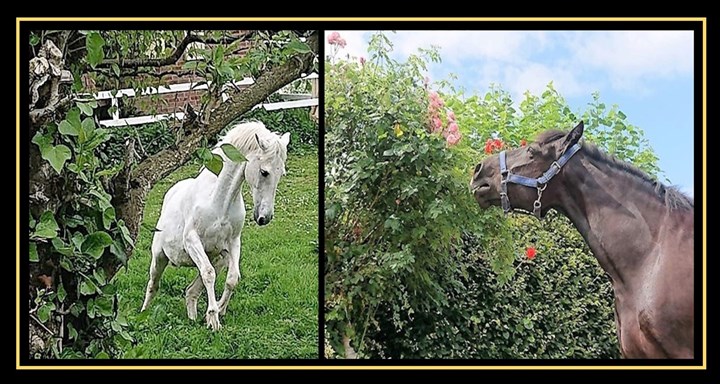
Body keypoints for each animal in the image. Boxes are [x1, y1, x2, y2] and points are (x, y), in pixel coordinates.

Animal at [139, 122, 288, 330]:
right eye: (264, 172)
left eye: (281, 173)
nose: (264, 218)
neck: (219, 201)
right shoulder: (192, 241)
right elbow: (209, 275)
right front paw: (214, 319)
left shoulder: (233, 243)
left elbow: (233, 278)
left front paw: (218, 311)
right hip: (159, 257)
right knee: (153, 284)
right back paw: (143, 315)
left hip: (219, 259)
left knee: (191, 290)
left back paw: (193, 317)